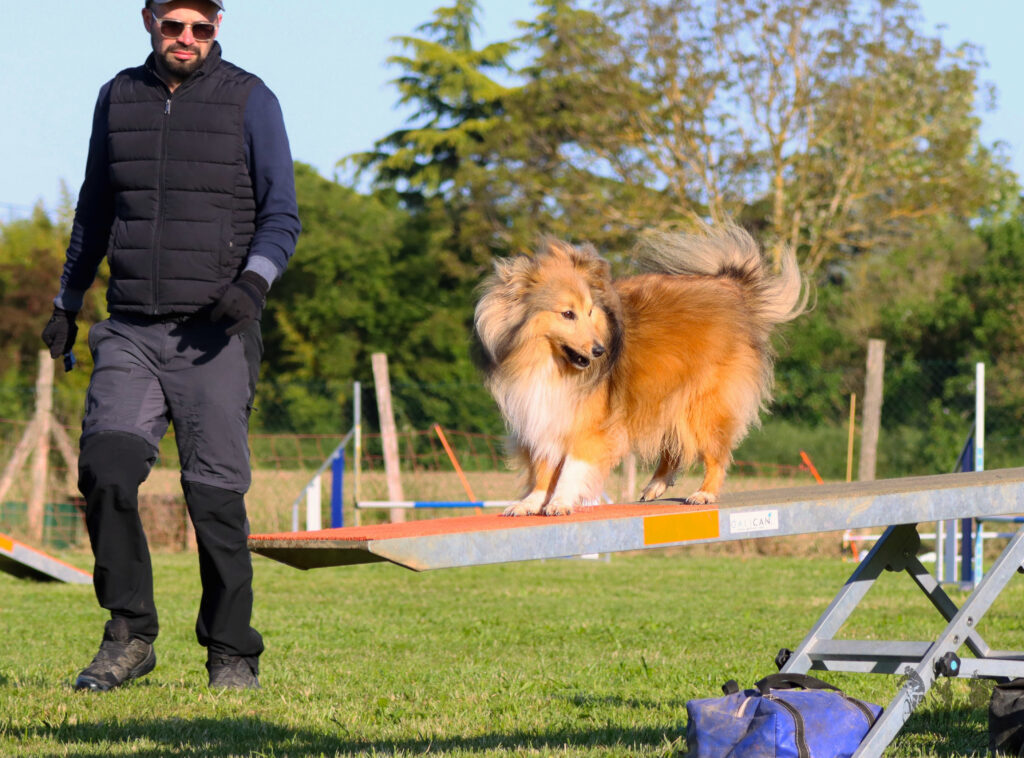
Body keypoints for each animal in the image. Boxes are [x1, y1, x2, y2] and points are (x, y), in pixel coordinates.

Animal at [471, 223, 806, 514]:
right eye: (567, 314)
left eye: (590, 311)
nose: (600, 351)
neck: (546, 361)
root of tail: (732, 285)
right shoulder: (542, 413)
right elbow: (543, 465)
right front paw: (531, 502)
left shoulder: (589, 422)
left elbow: (572, 466)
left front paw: (560, 501)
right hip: (665, 395)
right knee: (673, 447)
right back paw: (655, 486)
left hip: (702, 403)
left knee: (715, 452)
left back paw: (704, 493)